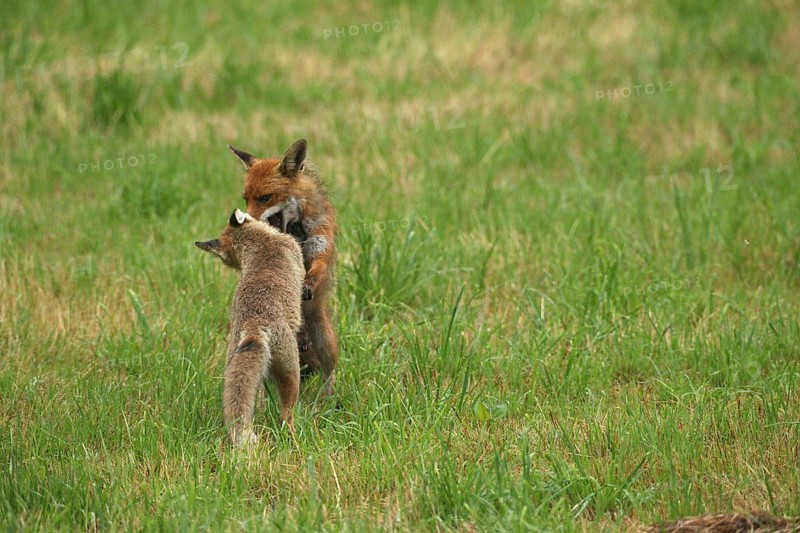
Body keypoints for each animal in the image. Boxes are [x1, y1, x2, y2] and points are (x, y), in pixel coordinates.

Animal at [195, 209, 304, 447]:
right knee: (286, 414)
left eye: (224, 259)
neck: (261, 244)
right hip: (291, 370)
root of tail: (253, 324)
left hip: (237, 364)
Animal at [227, 139, 339, 395]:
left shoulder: (320, 244)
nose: (243, 220)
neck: (297, 228)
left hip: (324, 338)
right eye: (246, 198)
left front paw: (309, 283)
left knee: (328, 370)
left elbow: (316, 269)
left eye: (265, 197)